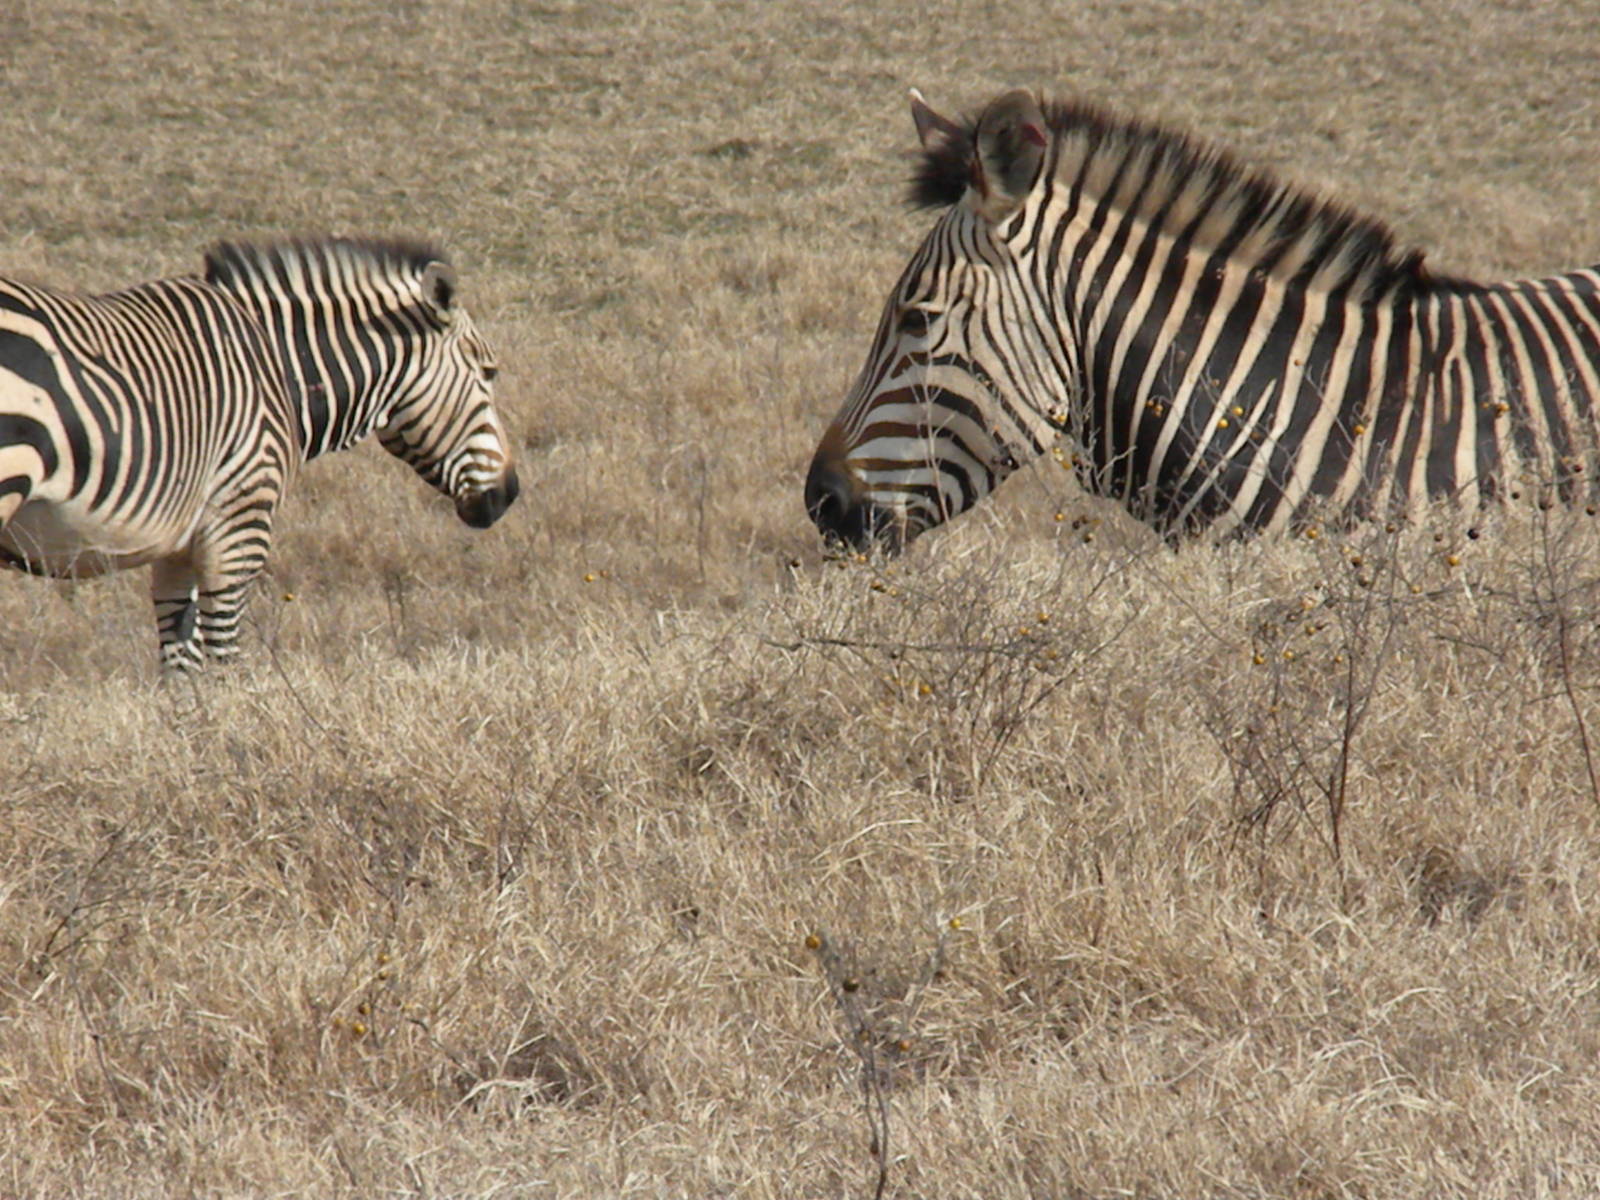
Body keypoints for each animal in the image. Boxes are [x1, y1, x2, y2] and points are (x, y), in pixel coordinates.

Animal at [0, 237, 518, 671]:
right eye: (489, 372)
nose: (509, 494)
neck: (280, 366)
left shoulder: (180, 546)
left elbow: (182, 670)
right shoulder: (240, 523)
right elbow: (227, 662)